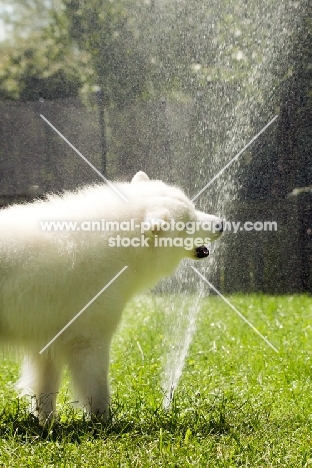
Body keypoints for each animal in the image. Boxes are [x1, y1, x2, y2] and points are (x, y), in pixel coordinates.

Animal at [0, 171, 222, 420]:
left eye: (193, 209)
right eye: (188, 223)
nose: (221, 224)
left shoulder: (48, 337)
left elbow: (45, 390)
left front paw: (47, 422)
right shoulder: (89, 337)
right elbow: (96, 386)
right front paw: (104, 420)